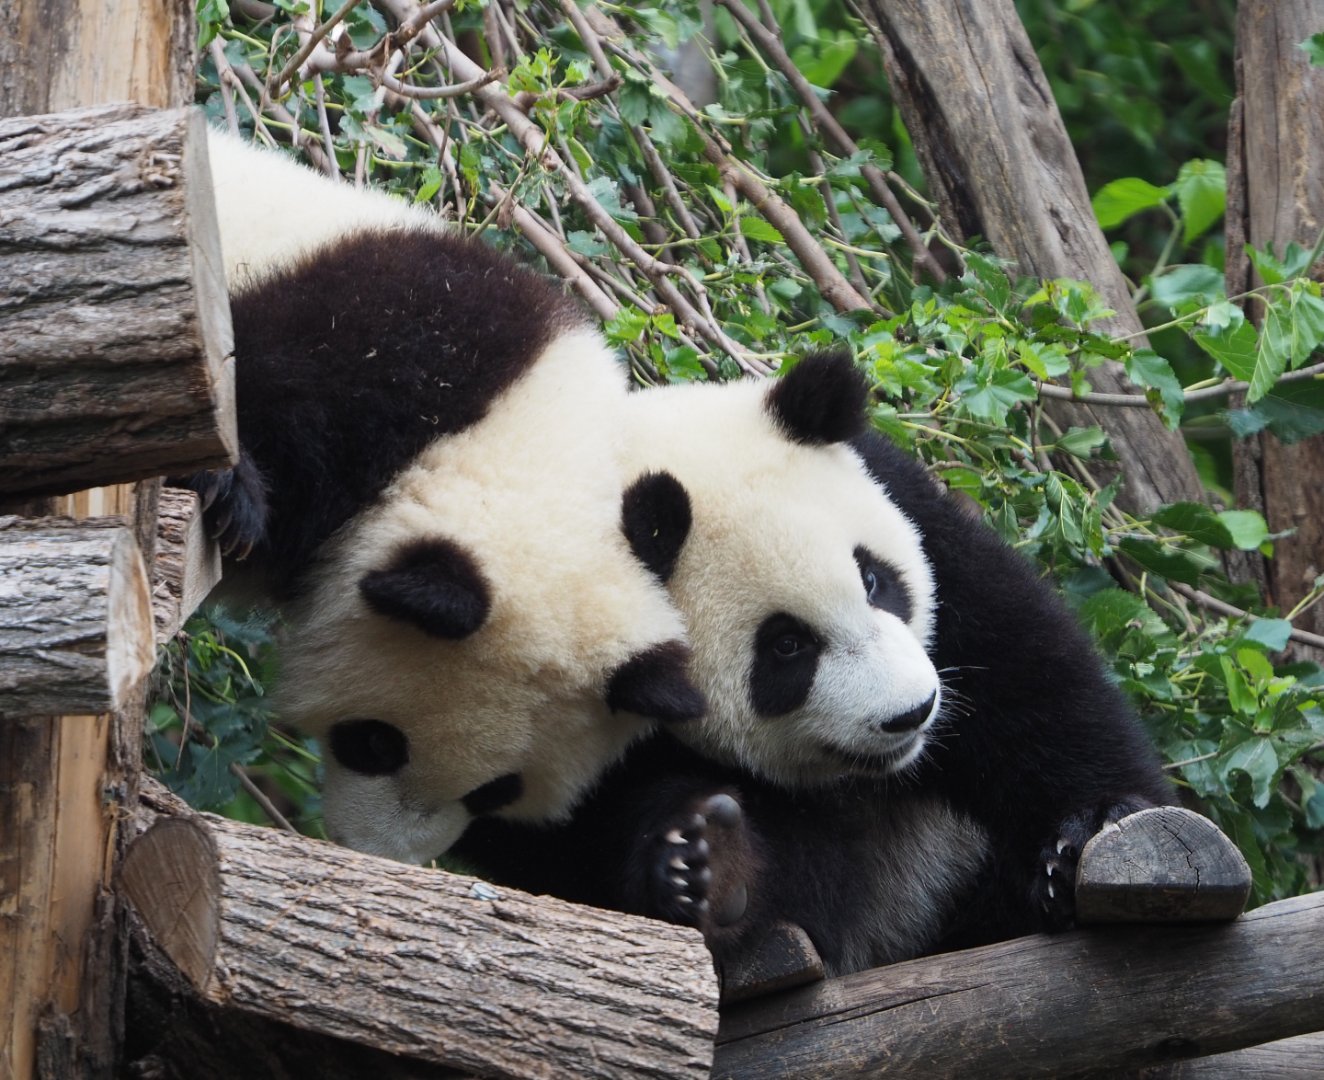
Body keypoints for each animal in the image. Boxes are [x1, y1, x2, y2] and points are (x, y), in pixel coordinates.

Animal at [453, 350, 1177, 979]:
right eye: (786, 646)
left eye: (875, 579)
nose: (911, 713)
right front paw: (710, 868)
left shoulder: (915, 511)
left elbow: (1028, 676)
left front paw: (1085, 833)